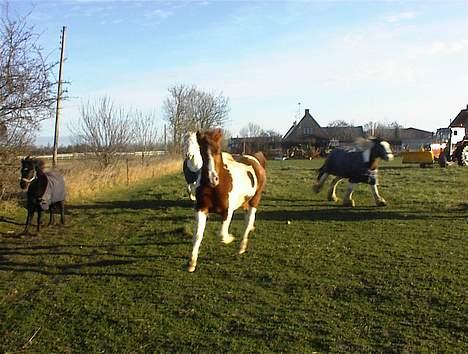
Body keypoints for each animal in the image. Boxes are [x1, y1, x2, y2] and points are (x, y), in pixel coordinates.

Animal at [187, 129, 266, 272]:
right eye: (202, 150)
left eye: (218, 150)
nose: (213, 179)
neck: (216, 187)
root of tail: (255, 160)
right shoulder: (201, 209)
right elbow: (197, 235)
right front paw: (191, 263)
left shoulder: (227, 211)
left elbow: (222, 234)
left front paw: (231, 238)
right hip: (245, 202)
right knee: (247, 219)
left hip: (254, 200)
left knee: (248, 221)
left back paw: (241, 247)